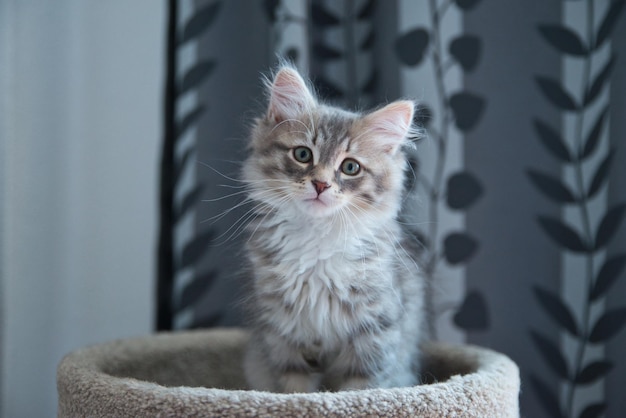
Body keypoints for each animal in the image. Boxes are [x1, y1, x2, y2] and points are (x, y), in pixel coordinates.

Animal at [241, 65, 422, 392]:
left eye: (350, 167)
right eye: (302, 154)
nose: (321, 184)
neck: (317, 240)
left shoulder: (375, 334)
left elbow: (359, 390)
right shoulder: (283, 334)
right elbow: (296, 389)